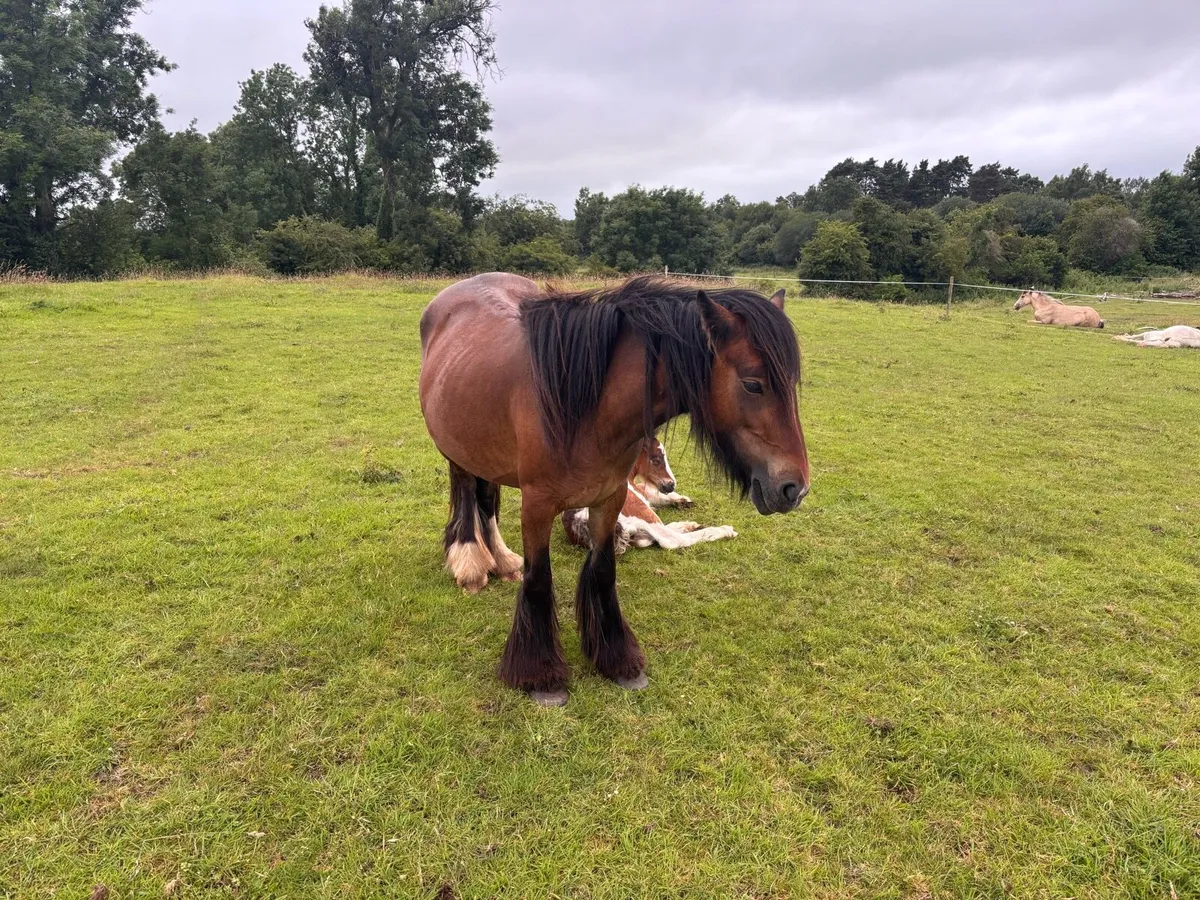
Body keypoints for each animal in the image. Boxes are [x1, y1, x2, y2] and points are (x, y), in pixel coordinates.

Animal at [561, 437, 737, 553]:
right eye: (656, 459)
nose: (671, 484)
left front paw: (682, 500)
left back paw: (690, 524)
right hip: (640, 513)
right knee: (670, 539)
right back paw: (725, 530)